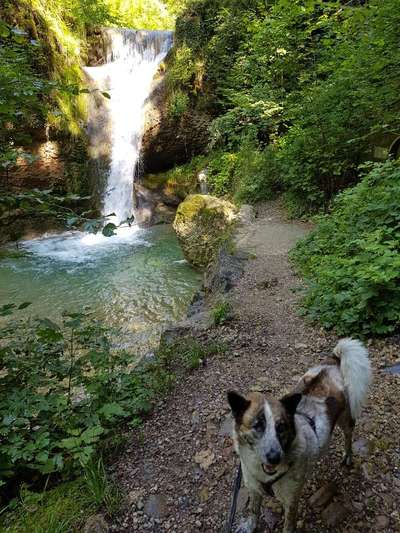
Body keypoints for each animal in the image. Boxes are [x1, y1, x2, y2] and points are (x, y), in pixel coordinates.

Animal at [228, 338, 372, 528]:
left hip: (346, 419)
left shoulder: (291, 502)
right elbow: (253, 510)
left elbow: (288, 526)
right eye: (258, 425)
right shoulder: (254, 488)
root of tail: (334, 361)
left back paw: (347, 456)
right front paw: (249, 526)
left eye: (281, 427)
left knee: (348, 437)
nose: (274, 457)